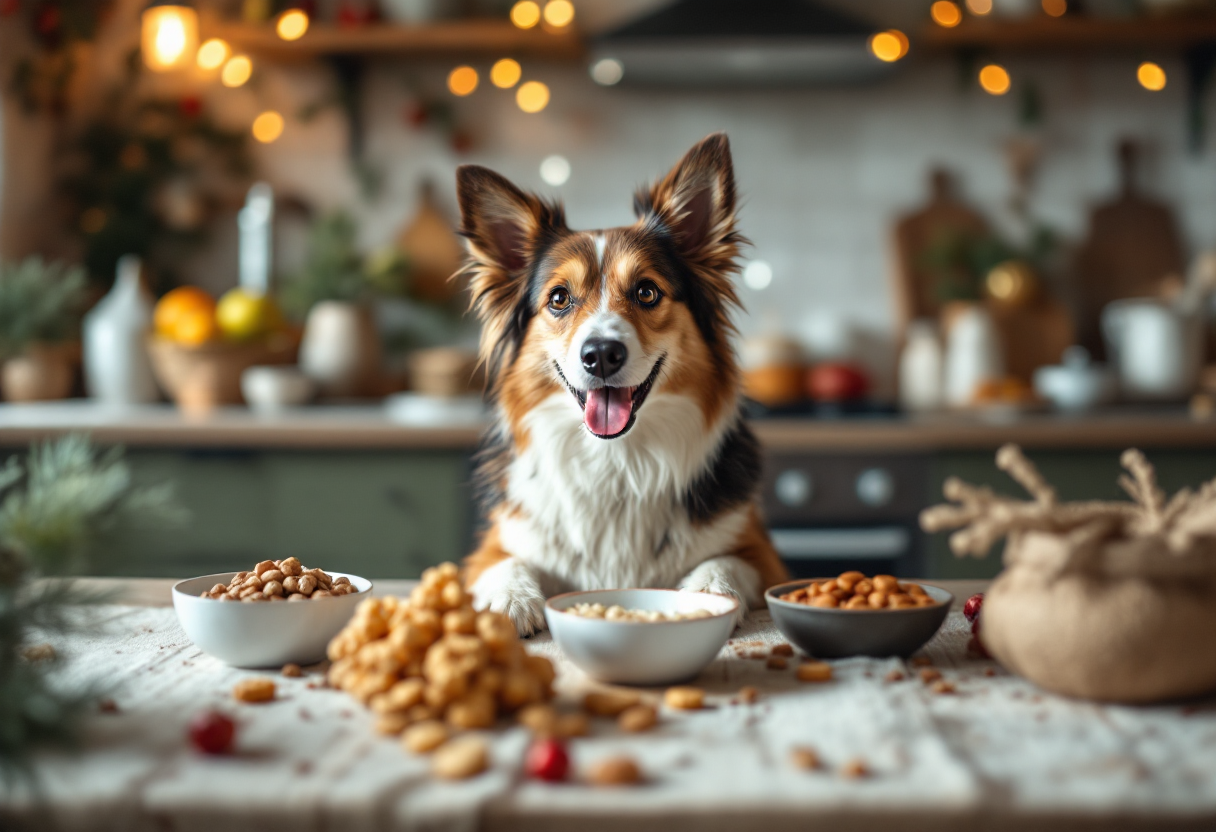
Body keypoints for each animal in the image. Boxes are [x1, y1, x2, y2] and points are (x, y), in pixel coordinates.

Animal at [457, 133, 787, 632]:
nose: (601, 355)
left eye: (647, 291)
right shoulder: (492, 546)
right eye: (559, 298)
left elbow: (723, 562)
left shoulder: (762, 553)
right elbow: (506, 563)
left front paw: (709, 593)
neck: (617, 462)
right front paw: (510, 600)